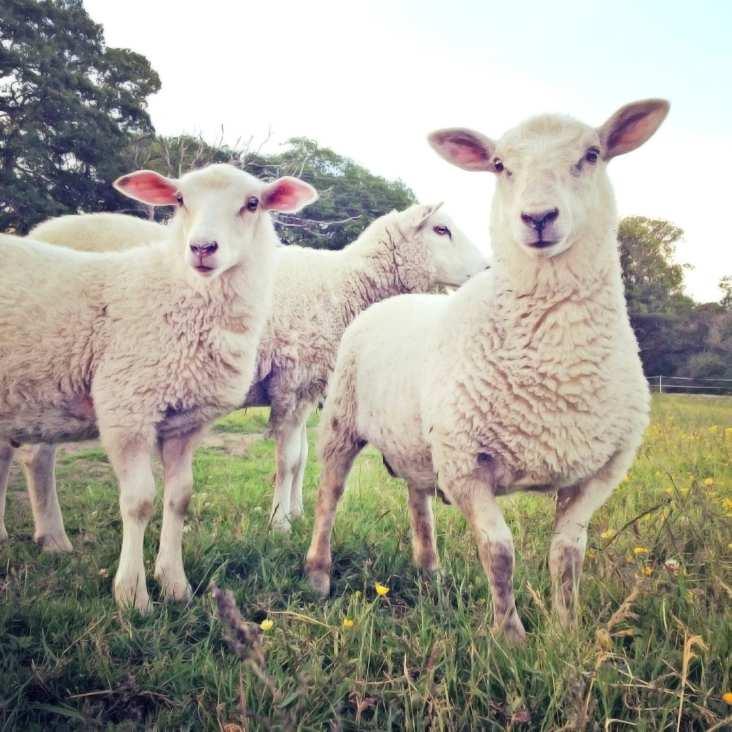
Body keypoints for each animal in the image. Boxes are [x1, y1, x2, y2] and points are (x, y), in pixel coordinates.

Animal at [0, 163, 316, 608]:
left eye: (252, 203)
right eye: (180, 200)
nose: (202, 247)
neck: (176, 294)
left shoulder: (185, 422)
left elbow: (179, 497)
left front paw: (174, 584)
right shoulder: (127, 408)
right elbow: (139, 502)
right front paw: (133, 596)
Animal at [2, 203, 488, 540]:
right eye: (441, 229)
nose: (487, 269)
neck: (343, 285)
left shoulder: (307, 387)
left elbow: (301, 457)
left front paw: (294, 511)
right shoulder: (294, 381)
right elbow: (288, 459)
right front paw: (280, 524)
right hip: (52, 365)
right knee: (35, 455)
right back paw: (52, 537)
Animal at [306, 98, 672, 640]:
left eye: (592, 154)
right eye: (499, 165)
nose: (537, 217)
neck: (556, 371)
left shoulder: (602, 470)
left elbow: (568, 554)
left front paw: (566, 630)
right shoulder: (465, 466)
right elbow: (499, 553)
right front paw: (511, 637)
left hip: (420, 442)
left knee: (418, 500)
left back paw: (430, 572)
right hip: (341, 421)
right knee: (329, 495)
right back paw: (318, 574)